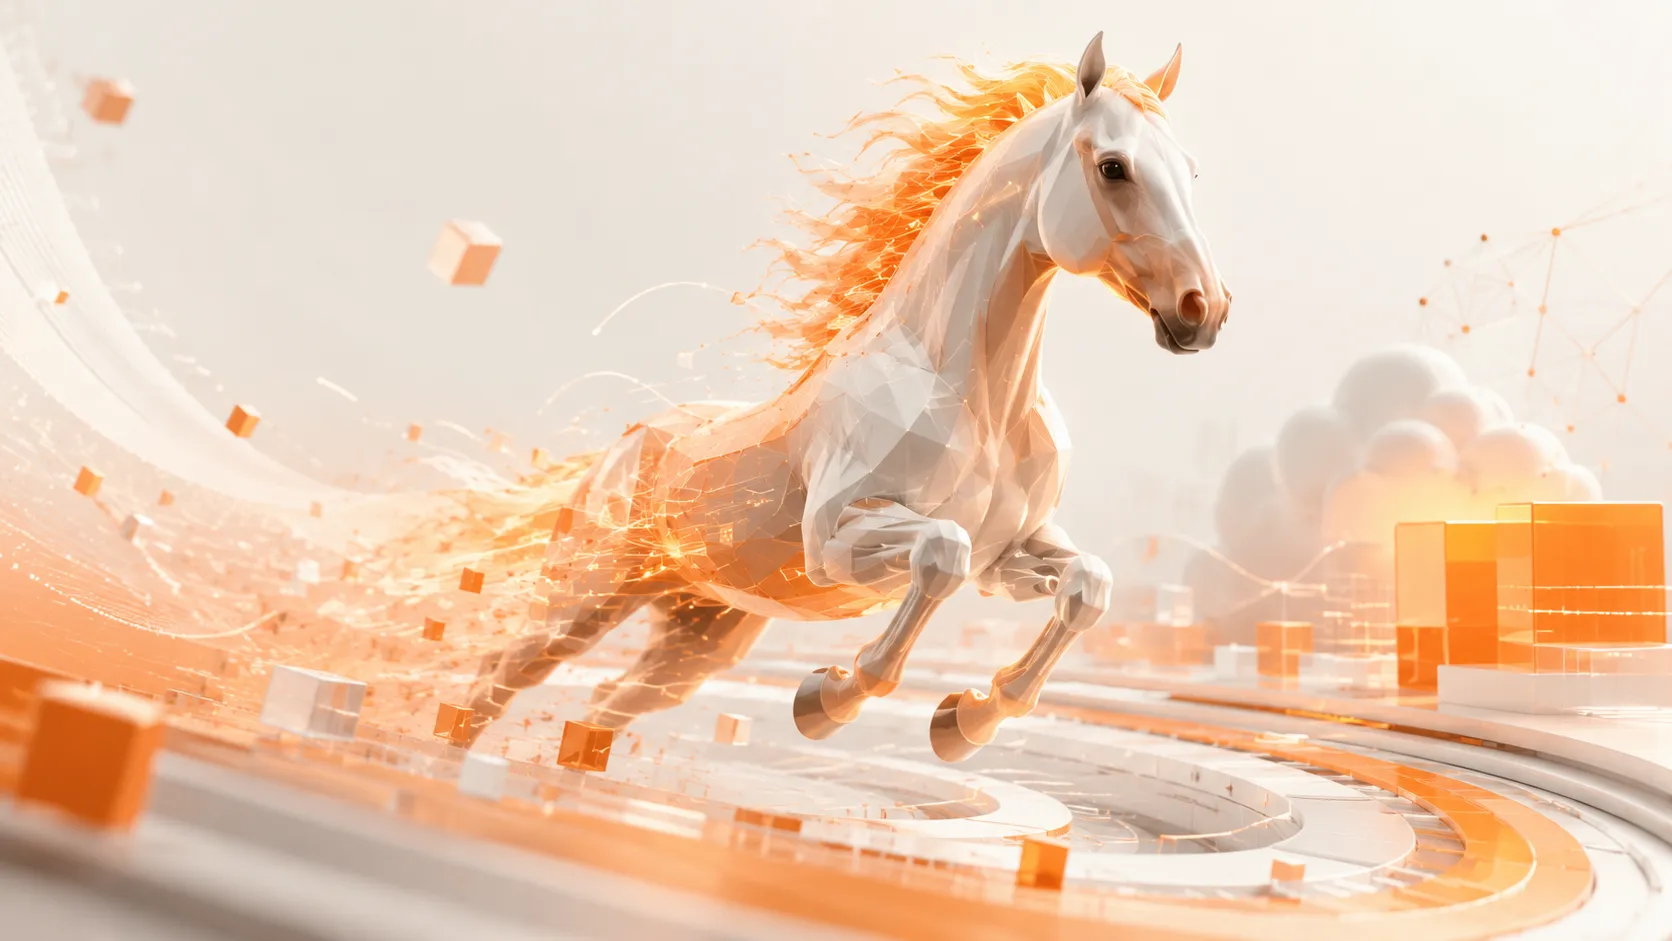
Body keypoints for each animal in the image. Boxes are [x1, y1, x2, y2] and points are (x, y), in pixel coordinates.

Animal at [461, 32, 1231, 761]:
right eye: (1113, 167)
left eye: (1193, 170)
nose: (1205, 309)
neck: (975, 401)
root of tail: (620, 449)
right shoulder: (838, 538)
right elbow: (940, 555)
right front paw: (828, 699)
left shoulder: (1010, 554)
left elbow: (1088, 586)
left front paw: (968, 719)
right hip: (575, 607)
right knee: (490, 683)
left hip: (697, 640)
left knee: (606, 705)